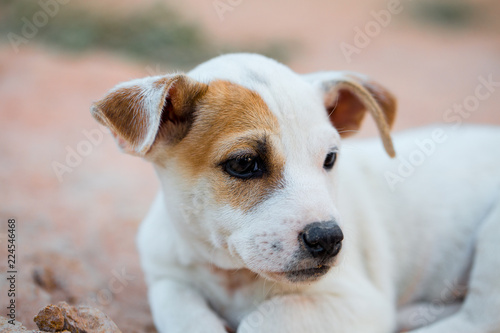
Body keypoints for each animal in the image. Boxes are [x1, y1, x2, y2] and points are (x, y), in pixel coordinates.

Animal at [91, 53, 500, 330]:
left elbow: (268, 317)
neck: (233, 277)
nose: (329, 239)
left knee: (477, 319)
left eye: (330, 158)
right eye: (244, 163)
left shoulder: (357, 304)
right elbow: (182, 310)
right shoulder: (167, 279)